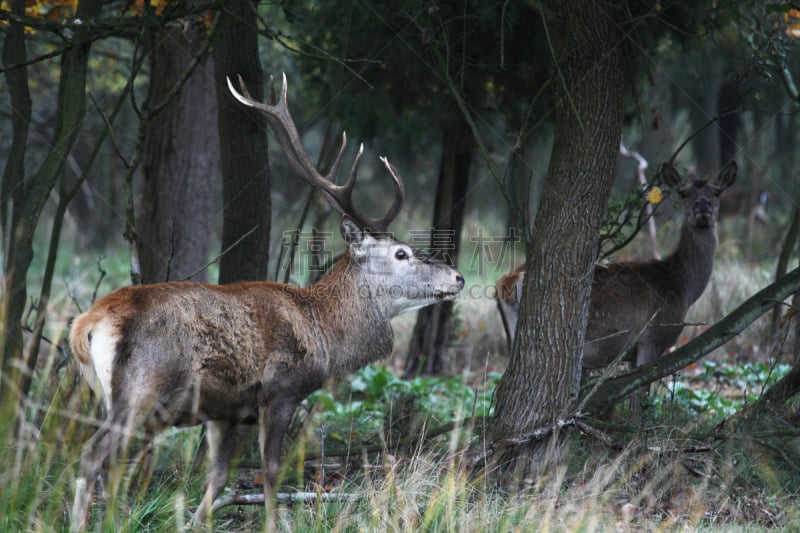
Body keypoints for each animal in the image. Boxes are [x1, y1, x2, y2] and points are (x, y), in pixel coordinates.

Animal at [72, 74, 468, 528]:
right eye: (402, 254)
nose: (457, 276)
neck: (325, 335)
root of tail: (88, 323)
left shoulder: (227, 411)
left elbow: (218, 476)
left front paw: (195, 522)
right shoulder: (280, 392)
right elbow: (272, 471)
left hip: (105, 394)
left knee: (109, 464)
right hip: (140, 389)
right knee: (93, 456)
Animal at [496, 161, 736, 370]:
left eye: (717, 191)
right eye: (684, 192)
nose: (703, 204)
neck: (683, 286)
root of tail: (506, 282)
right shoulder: (653, 338)